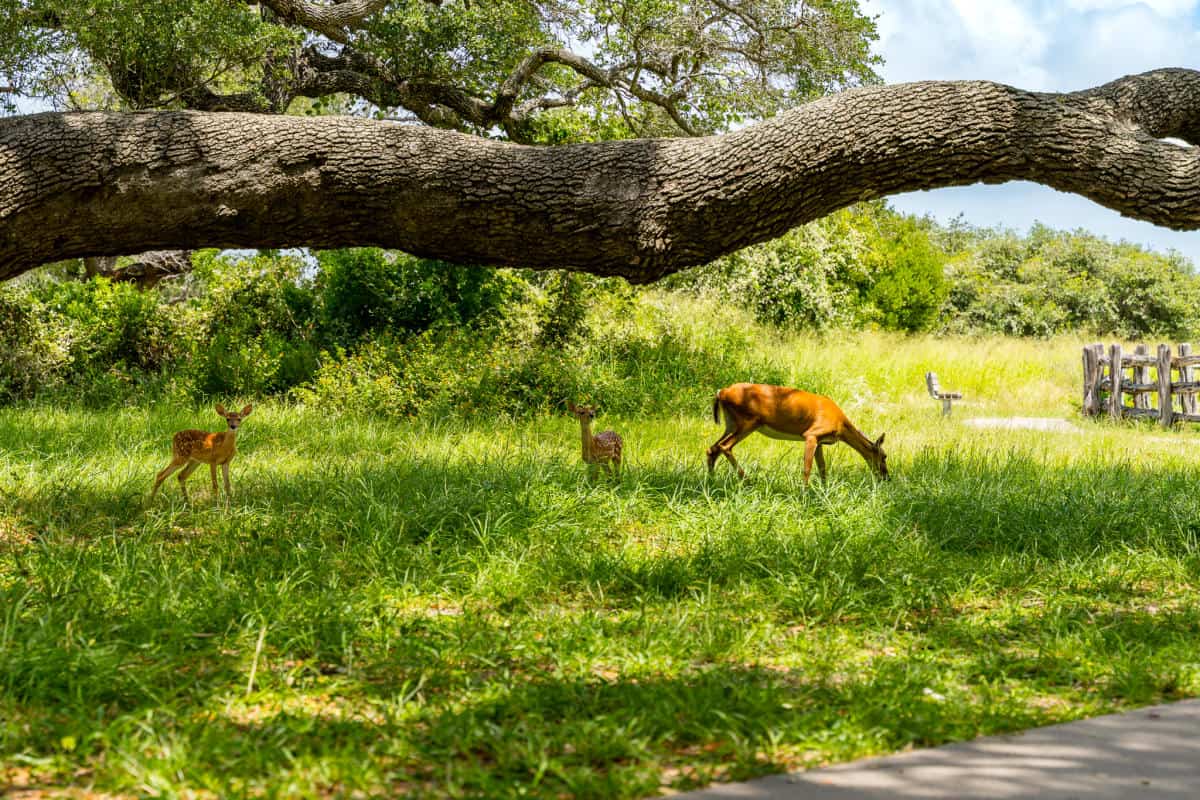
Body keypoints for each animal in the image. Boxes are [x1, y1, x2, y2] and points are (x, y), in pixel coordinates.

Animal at [707, 383, 887, 485]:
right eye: (884, 456)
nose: (887, 477)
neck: (841, 425)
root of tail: (721, 392)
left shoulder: (820, 441)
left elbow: (822, 468)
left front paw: (825, 490)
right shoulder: (812, 434)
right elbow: (807, 467)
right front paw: (804, 495)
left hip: (731, 423)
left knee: (712, 448)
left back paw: (712, 481)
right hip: (748, 421)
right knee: (724, 446)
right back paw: (747, 480)